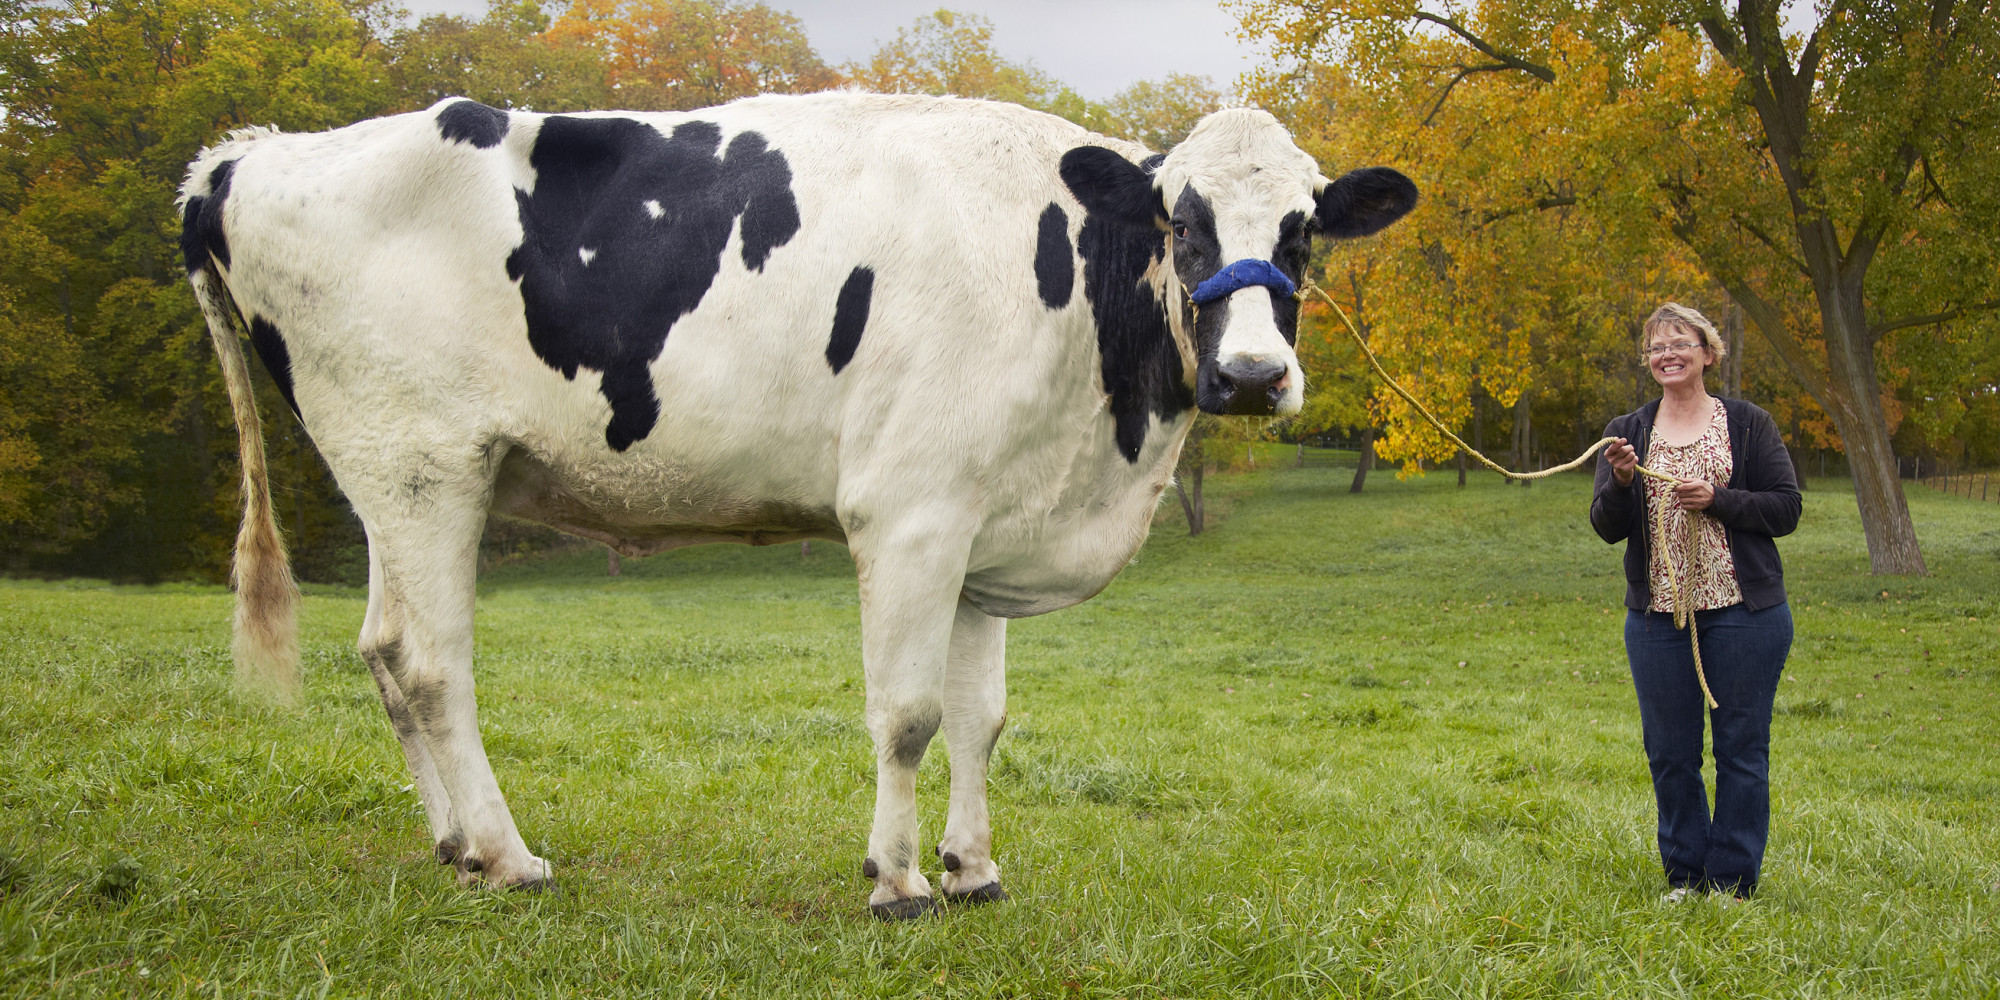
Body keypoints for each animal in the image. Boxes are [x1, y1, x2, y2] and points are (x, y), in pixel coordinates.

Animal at [180, 90, 1416, 916]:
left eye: (1304, 228)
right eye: (1180, 219)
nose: (1251, 376)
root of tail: (247, 156)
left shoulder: (981, 525)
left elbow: (981, 717)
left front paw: (974, 869)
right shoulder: (909, 513)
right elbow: (908, 714)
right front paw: (898, 881)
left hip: (398, 479)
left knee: (385, 651)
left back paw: (452, 845)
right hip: (423, 462)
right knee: (435, 665)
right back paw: (508, 854)